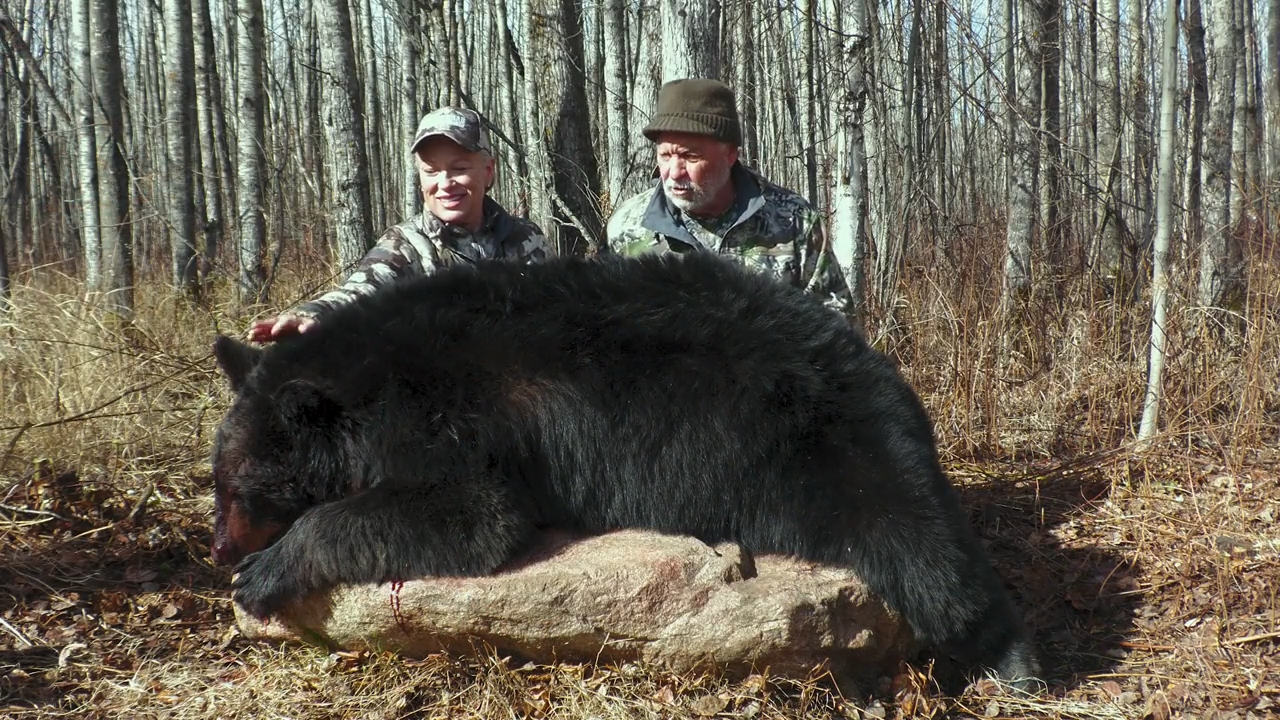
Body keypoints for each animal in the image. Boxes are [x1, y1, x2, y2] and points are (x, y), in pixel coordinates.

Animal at [209, 251, 1040, 689]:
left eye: (246, 487)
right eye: (217, 482)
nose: (218, 547)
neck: (364, 380)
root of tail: (876, 363)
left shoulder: (448, 413)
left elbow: (469, 512)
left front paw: (265, 572)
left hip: (826, 444)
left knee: (916, 541)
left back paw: (1012, 660)